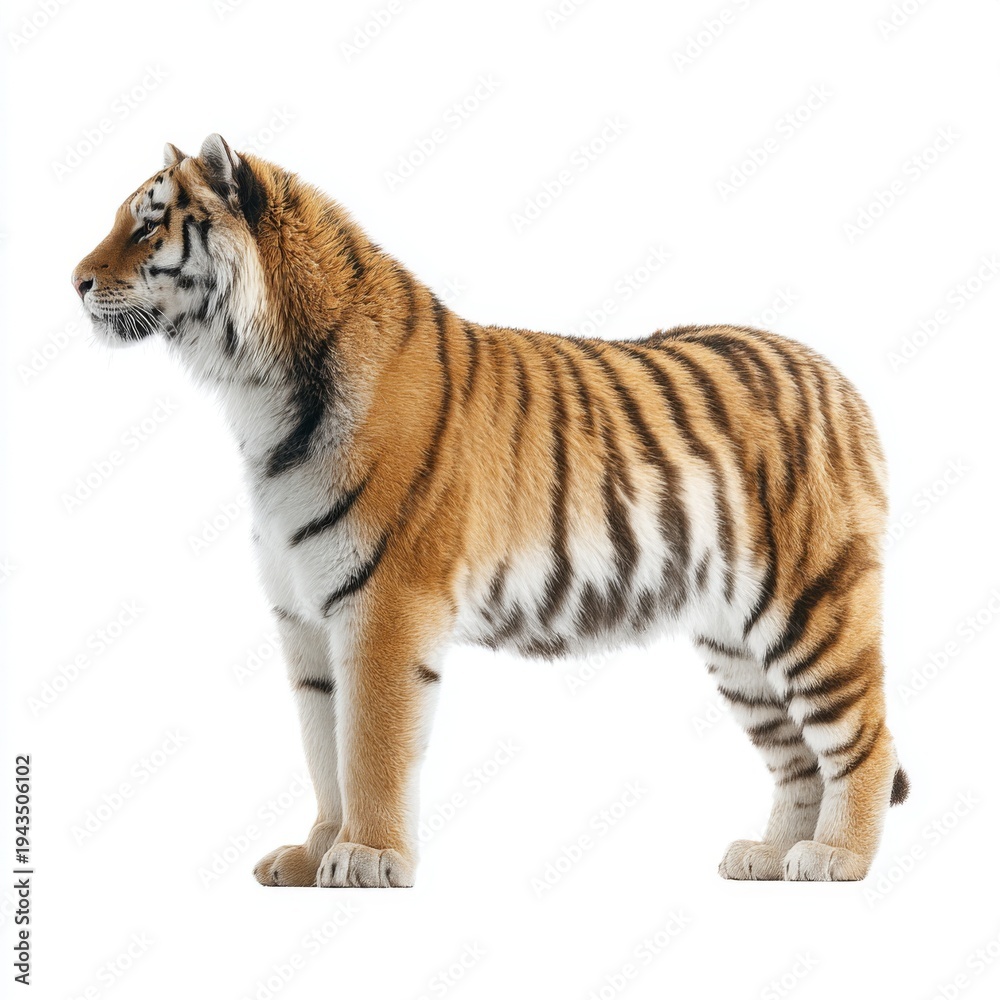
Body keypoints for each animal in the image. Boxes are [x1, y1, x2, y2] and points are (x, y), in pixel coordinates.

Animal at [72, 133, 908, 887]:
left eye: (147, 224)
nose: (74, 281)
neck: (256, 394)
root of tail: (839, 379)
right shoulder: (303, 617)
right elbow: (321, 747)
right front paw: (313, 857)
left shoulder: (383, 605)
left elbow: (367, 746)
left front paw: (367, 857)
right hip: (735, 641)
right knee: (798, 757)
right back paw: (771, 857)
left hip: (812, 603)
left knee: (864, 738)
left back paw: (835, 860)